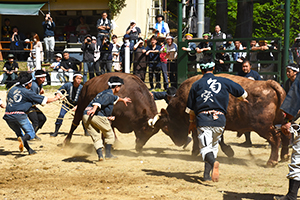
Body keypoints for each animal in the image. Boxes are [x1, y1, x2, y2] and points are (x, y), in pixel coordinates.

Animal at [158, 74, 290, 166]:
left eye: (166, 128)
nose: (179, 143)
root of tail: (268, 83)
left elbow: (200, 138)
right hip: (280, 122)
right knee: (285, 135)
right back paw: (284, 156)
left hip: (263, 127)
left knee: (275, 138)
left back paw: (272, 161)